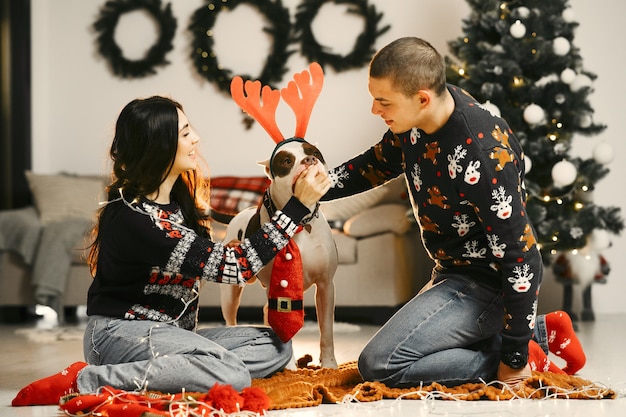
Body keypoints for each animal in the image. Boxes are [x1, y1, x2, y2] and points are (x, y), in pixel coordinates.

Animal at [219, 139, 336, 368]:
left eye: (316, 153)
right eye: (287, 161)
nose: (310, 159)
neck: (298, 221)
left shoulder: (326, 285)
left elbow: (326, 331)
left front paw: (329, 366)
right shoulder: (282, 290)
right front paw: (290, 369)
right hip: (230, 294)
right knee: (230, 319)